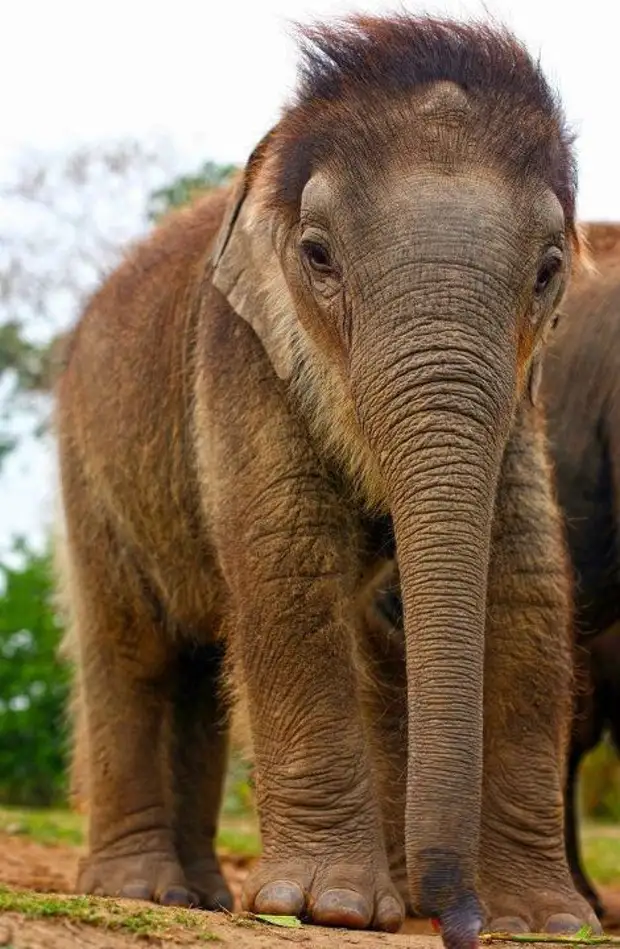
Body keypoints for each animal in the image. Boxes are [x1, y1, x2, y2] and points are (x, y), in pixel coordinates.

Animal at [55, 14, 600, 948]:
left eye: (547, 271)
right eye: (317, 256)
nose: (453, 919)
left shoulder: (523, 410)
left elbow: (527, 594)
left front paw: (547, 921)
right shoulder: (241, 356)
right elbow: (287, 568)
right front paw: (328, 906)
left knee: (197, 670)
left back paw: (201, 896)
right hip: (88, 461)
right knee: (131, 644)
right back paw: (142, 888)